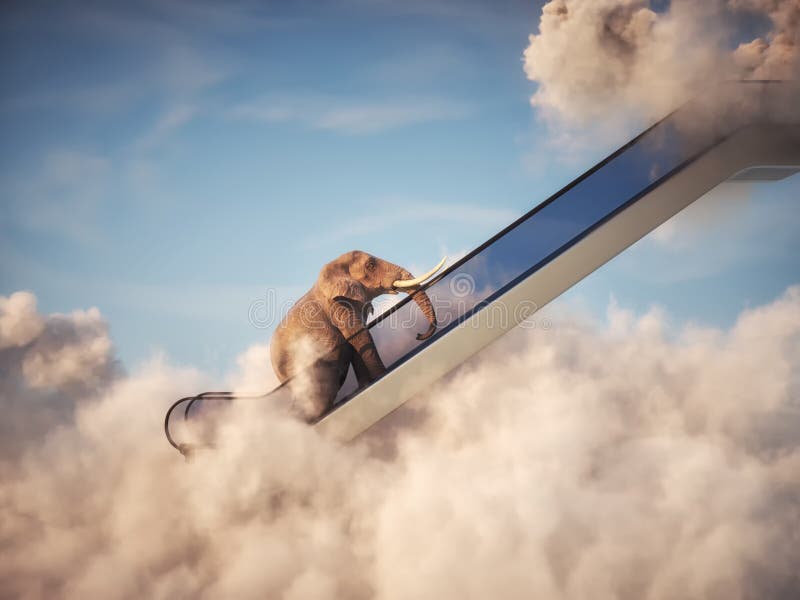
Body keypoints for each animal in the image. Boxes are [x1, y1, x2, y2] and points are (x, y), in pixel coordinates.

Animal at [268, 251, 444, 420]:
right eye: (371, 265)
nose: (419, 335)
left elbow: (356, 344)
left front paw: (366, 385)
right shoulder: (339, 305)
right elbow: (361, 338)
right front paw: (381, 376)